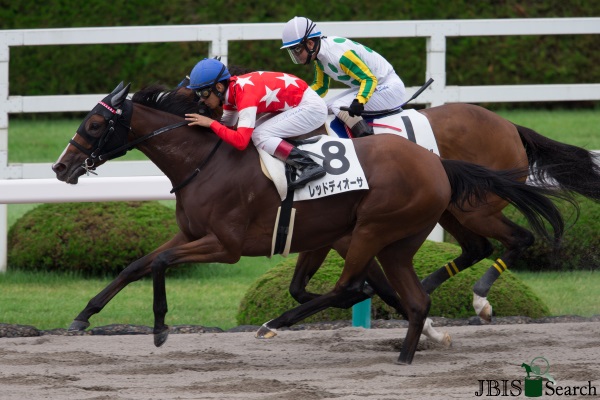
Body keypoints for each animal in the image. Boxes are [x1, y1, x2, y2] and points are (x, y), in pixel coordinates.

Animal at [52, 83, 568, 364]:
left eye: (94, 125)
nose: (61, 167)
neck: (207, 161)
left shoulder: (227, 245)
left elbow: (159, 265)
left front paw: (159, 328)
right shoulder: (197, 234)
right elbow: (136, 265)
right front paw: (82, 316)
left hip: (411, 221)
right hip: (410, 227)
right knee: (455, 259)